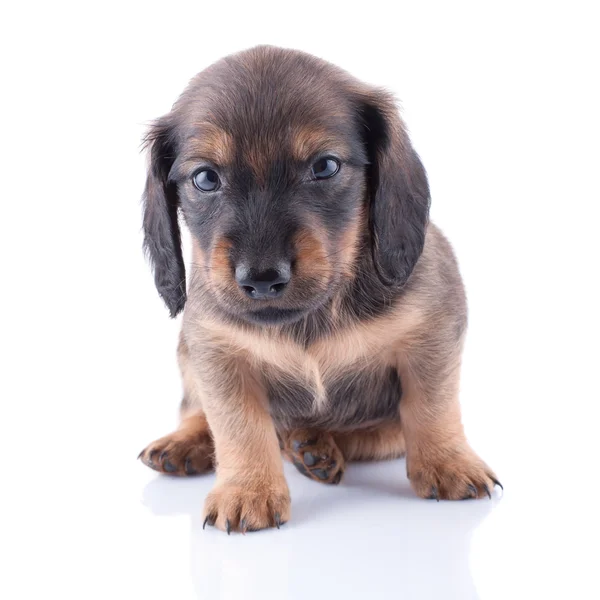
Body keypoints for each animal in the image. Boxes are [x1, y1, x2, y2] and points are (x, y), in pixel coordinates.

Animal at [138, 47, 500, 536]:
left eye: (324, 166)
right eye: (206, 178)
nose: (262, 277)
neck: (315, 314)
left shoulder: (434, 332)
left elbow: (432, 404)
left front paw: (448, 462)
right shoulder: (215, 350)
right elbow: (237, 426)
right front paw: (247, 489)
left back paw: (315, 447)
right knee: (195, 410)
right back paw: (188, 442)